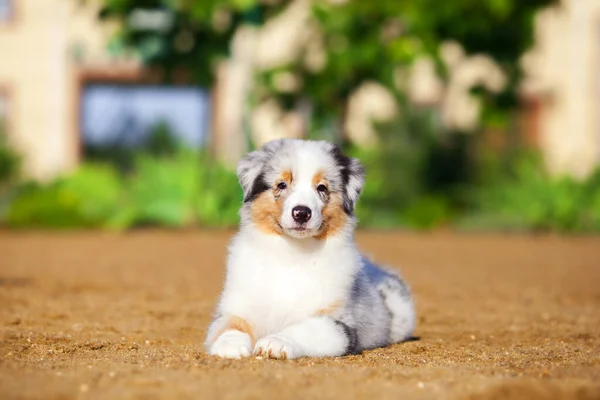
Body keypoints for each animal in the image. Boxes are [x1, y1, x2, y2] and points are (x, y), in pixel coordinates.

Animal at [204, 138, 414, 360]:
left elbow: (304, 328)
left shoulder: (338, 323)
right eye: (282, 184)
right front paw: (229, 345)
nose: (302, 213)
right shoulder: (237, 307)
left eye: (322, 188)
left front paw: (276, 342)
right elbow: (228, 324)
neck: (293, 253)